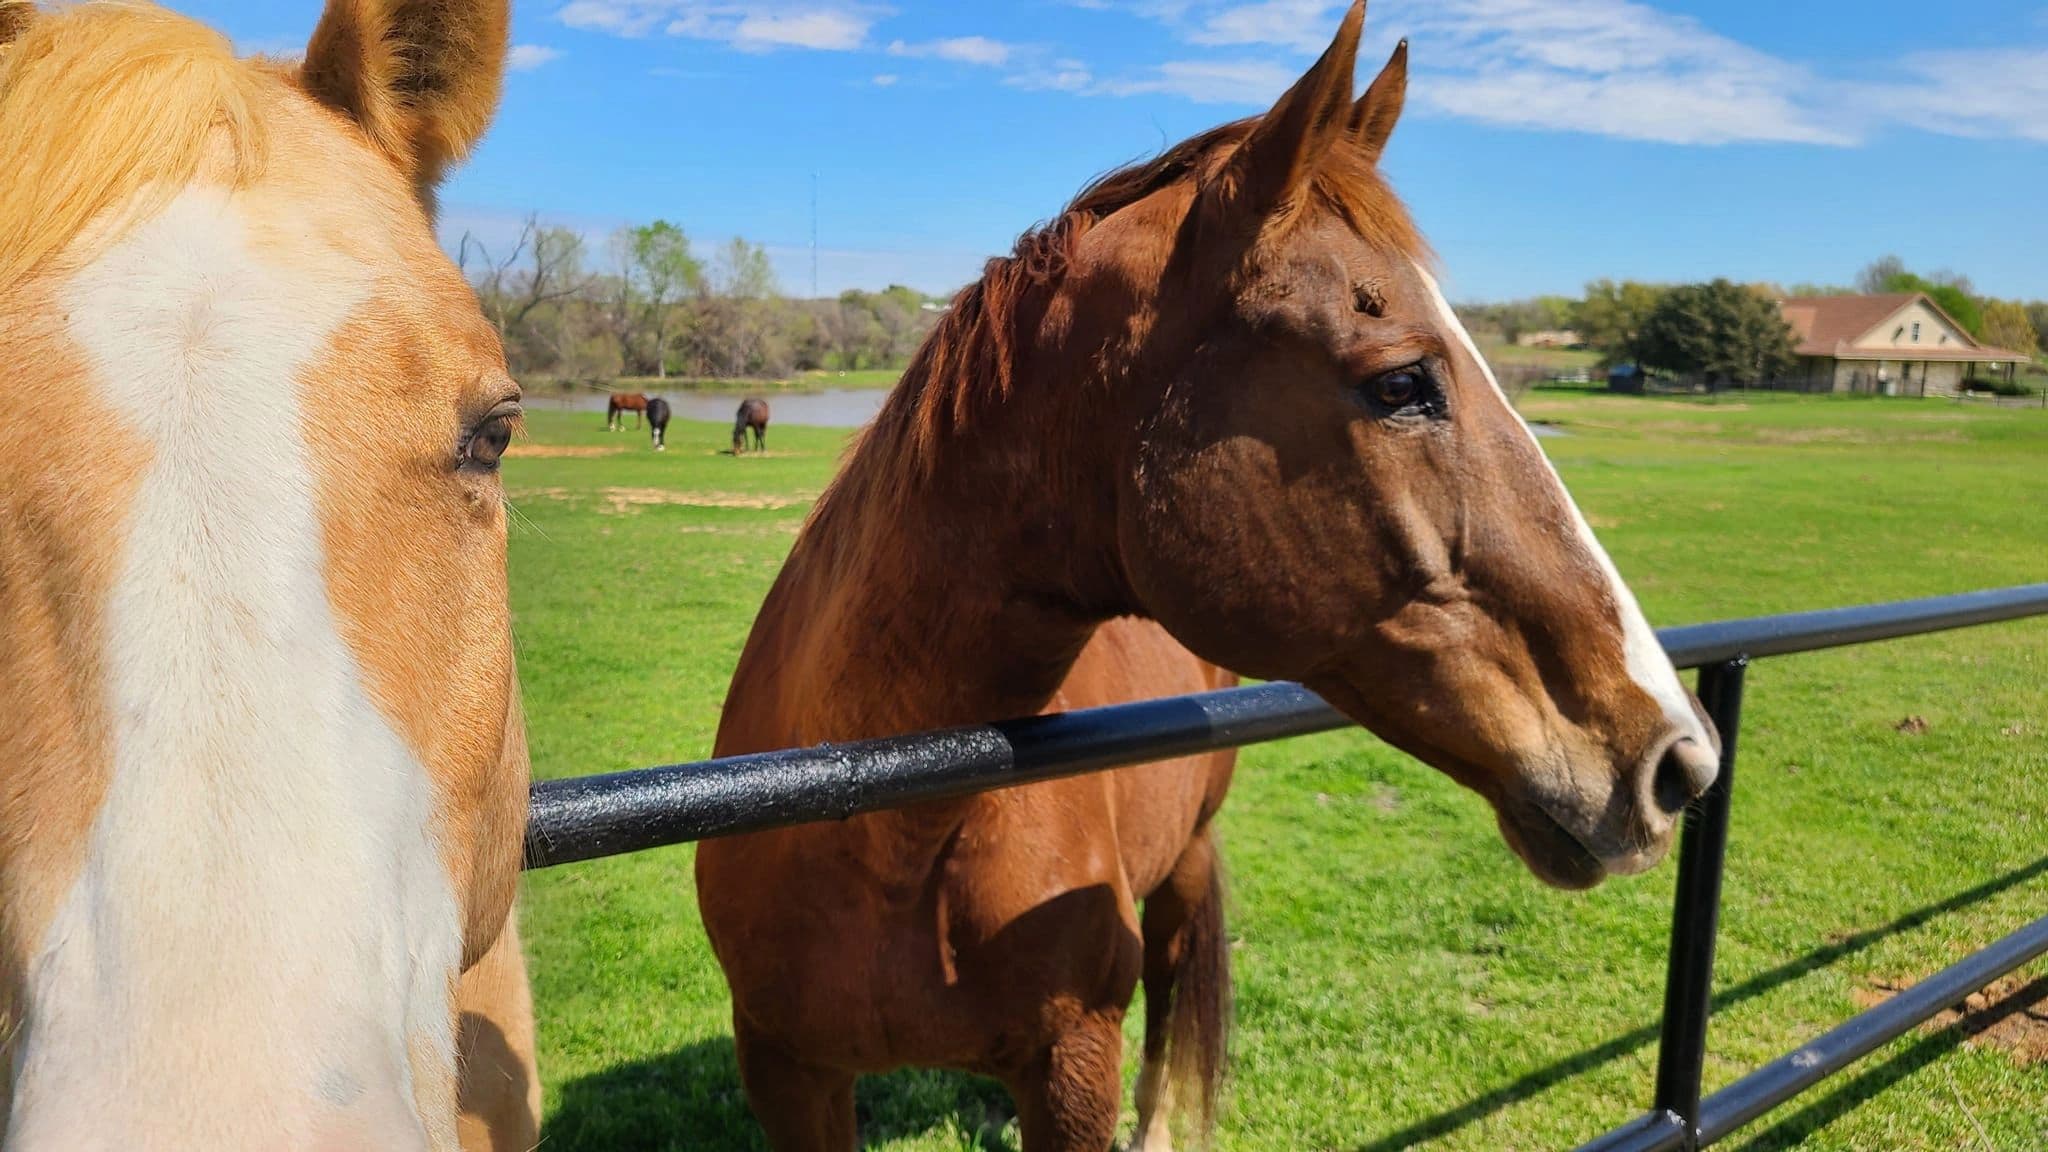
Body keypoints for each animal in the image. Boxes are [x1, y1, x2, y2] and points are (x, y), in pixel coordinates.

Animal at [698, 5, 1720, 1150]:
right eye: (1402, 383)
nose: (1678, 759)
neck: (882, 825)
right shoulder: (787, 1072)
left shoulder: (1071, 1064)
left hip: (1183, 863)